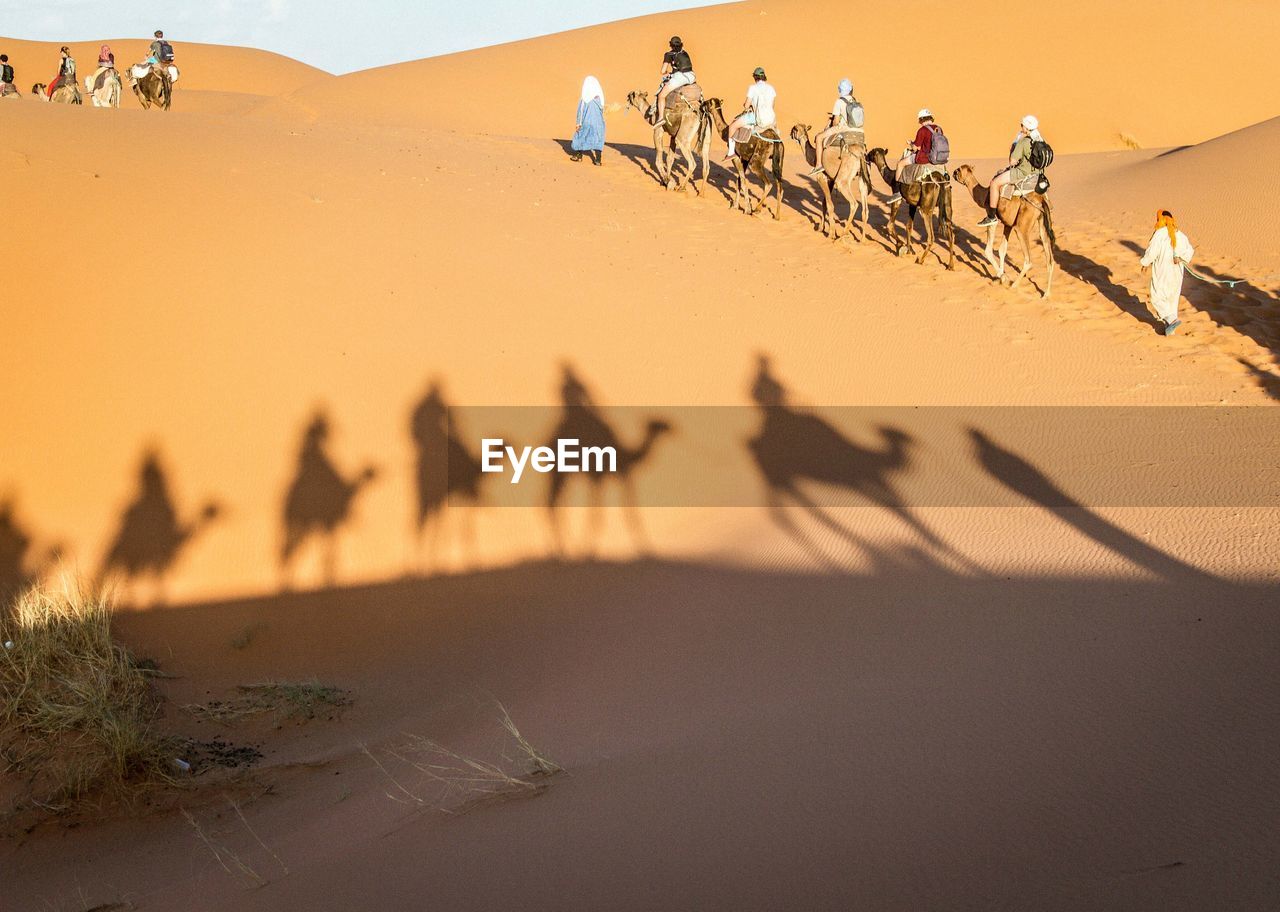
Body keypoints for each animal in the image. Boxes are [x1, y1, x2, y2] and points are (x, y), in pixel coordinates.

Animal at [281, 412, 376, 584]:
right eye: (370, 469)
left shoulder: (327, 525)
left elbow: (328, 552)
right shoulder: (328, 523)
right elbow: (329, 553)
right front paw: (329, 577)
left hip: (299, 523)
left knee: (289, 549)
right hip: (298, 522)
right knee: (289, 549)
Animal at [957, 160, 1054, 295]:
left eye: (957, 170)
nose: (951, 174)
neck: (984, 195)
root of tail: (1041, 200)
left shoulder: (992, 219)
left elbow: (988, 250)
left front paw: (1002, 276)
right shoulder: (1008, 224)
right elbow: (1002, 250)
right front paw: (1001, 274)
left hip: (1021, 226)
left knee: (1028, 260)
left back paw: (1014, 285)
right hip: (1041, 222)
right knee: (1049, 258)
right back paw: (1046, 294)